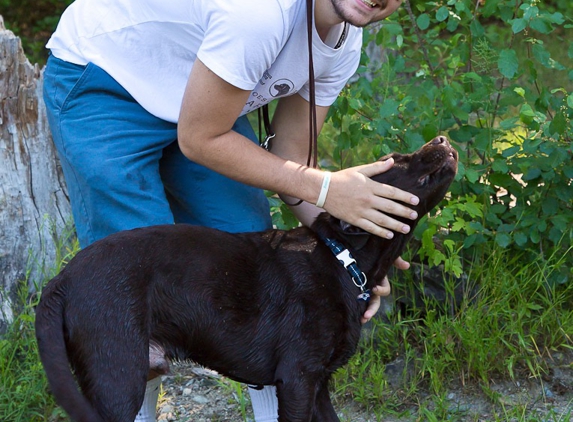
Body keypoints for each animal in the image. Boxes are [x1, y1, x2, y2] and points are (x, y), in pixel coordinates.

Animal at [34, 137, 456, 420]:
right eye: (393, 161)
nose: (442, 139)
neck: (342, 258)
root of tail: (62, 280)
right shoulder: (298, 379)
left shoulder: (318, 383)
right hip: (117, 377)